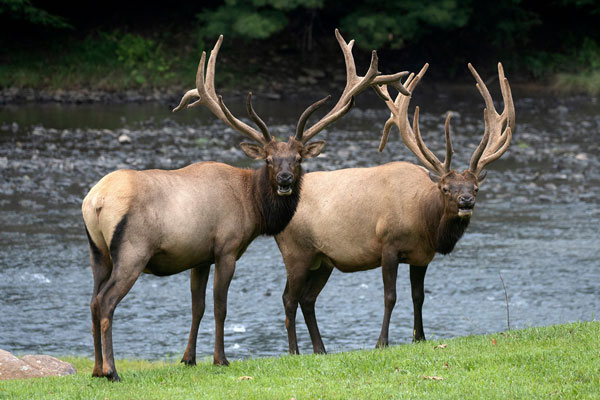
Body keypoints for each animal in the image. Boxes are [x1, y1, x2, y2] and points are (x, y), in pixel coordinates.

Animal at [82, 31, 408, 382]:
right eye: (268, 159)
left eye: (297, 158)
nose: (284, 180)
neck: (252, 207)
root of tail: (96, 200)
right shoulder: (226, 246)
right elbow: (220, 306)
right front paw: (220, 359)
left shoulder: (199, 256)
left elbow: (197, 306)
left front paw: (189, 358)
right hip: (133, 250)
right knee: (106, 301)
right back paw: (112, 371)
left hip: (98, 252)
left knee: (92, 301)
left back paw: (96, 369)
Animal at [276, 61, 516, 354]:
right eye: (446, 189)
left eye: (476, 188)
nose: (466, 202)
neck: (425, 223)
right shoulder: (388, 246)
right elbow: (390, 296)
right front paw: (382, 342)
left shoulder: (422, 256)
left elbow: (418, 296)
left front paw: (419, 337)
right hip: (296, 252)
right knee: (289, 298)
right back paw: (294, 351)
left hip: (322, 260)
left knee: (307, 299)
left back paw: (320, 350)